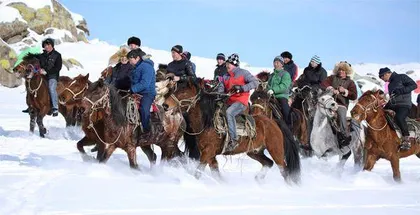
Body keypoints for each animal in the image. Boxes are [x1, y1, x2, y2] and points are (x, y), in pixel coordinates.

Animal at [162, 77, 300, 183]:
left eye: (183, 91)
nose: (165, 105)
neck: (208, 122)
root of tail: (273, 122)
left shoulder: (207, 152)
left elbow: (198, 172)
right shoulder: (210, 155)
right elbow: (216, 172)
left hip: (276, 150)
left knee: (284, 170)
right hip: (254, 151)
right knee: (268, 163)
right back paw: (258, 179)